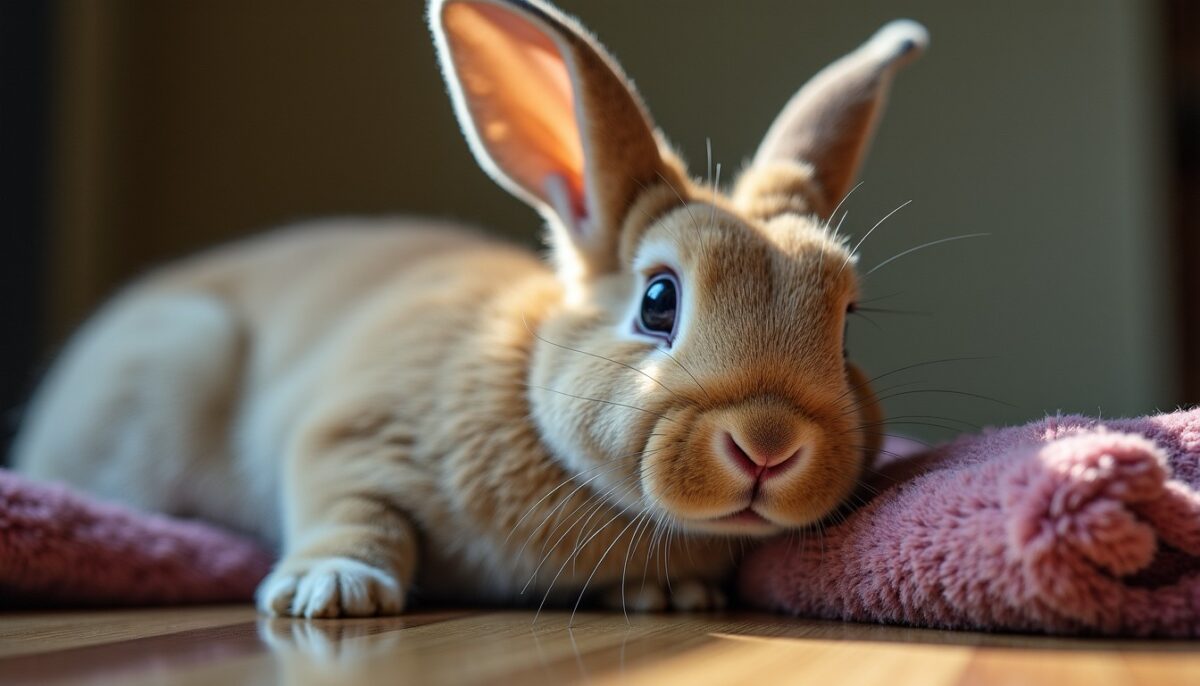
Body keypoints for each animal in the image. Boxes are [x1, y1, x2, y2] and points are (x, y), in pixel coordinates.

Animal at [12, 0, 926, 617]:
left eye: (846, 326)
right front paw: (331, 591)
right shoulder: (350, 437)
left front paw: (674, 595)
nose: (768, 445)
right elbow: (353, 513)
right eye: (659, 301)